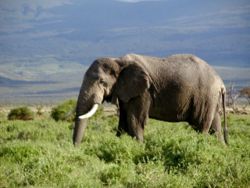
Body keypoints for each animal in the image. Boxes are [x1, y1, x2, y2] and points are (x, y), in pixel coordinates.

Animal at [73, 54, 229, 145]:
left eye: (101, 82)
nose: (77, 148)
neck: (118, 61)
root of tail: (221, 82)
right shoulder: (125, 91)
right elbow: (123, 122)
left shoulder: (144, 91)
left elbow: (135, 121)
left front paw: (138, 149)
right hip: (211, 98)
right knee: (215, 126)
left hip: (205, 95)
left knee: (201, 125)